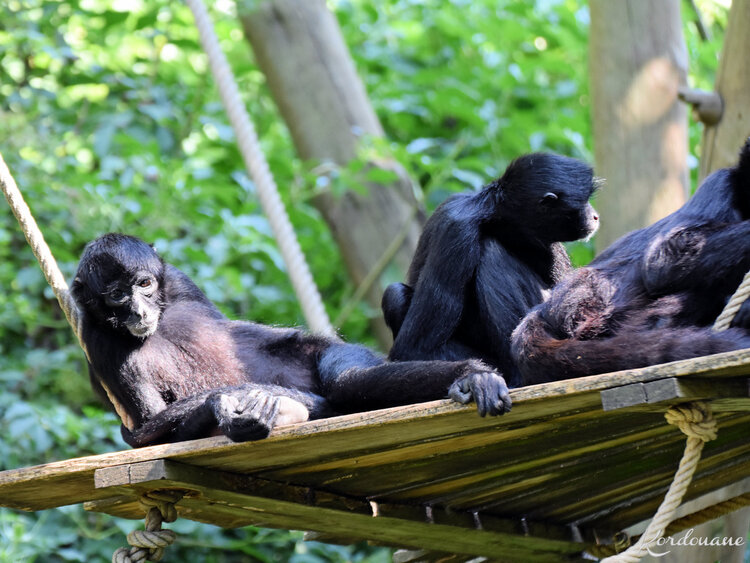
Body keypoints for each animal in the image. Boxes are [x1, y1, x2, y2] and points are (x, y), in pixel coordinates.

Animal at [73, 232, 516, 446]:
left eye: (144, 284)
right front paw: (224, 405)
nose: (139, 311)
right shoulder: (98, 345)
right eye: (118, 295)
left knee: (346, 379)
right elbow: (153, 436)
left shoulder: (177, 280)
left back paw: (471, 376)